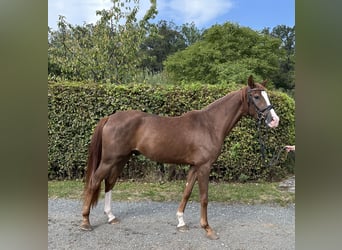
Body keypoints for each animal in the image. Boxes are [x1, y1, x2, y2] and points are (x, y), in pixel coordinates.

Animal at [80, 75, 278, 239]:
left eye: (266, 95)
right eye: (257, 97)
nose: (275, 120)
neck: (209, 125)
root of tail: (110, 118)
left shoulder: (194, 166)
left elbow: (187, 192)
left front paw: (181, 222)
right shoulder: (204, 167)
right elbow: (204, 197)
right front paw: (207, 228)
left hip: (121, 159)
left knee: (109, 182)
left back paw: (111, 217)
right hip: (110, 160)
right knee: (94, 181)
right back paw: (85, 222)